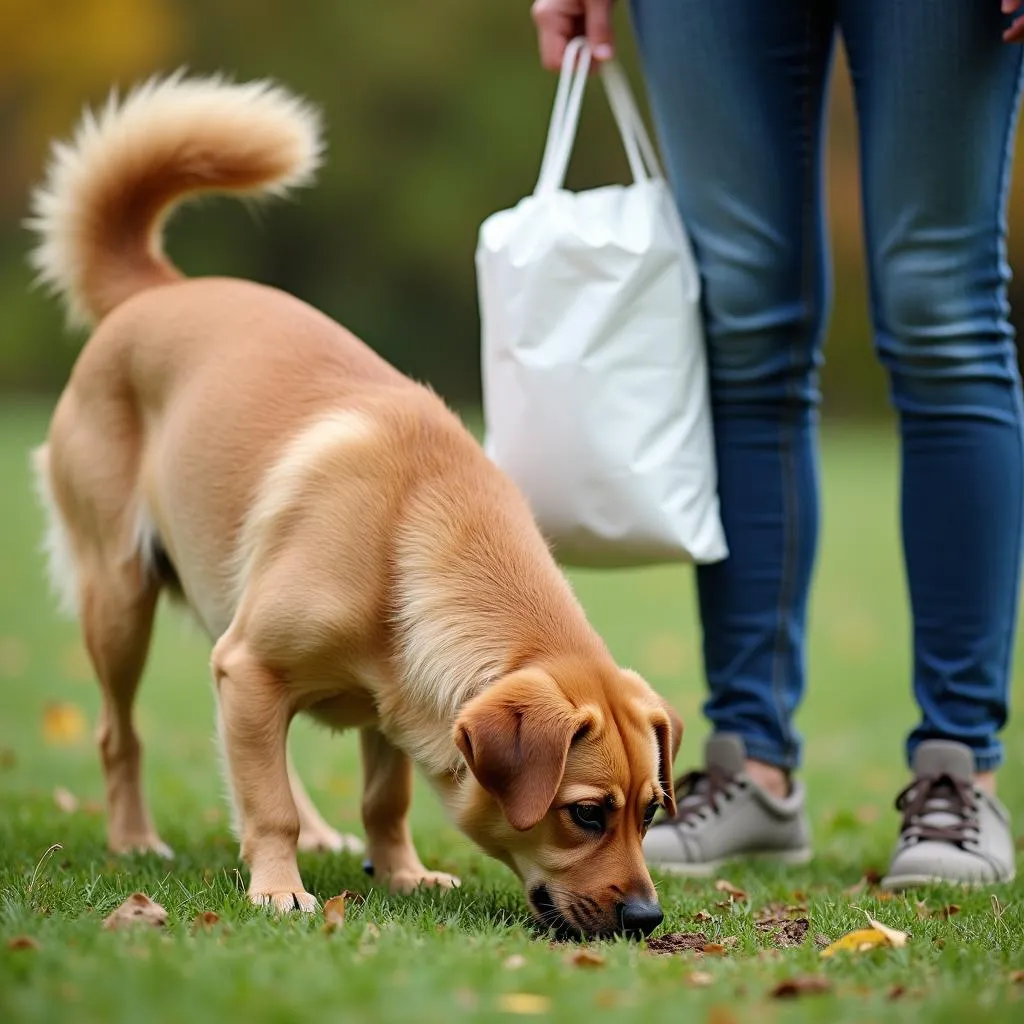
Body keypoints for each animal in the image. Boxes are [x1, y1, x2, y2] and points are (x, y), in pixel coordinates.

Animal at [25, 70, 679, 937]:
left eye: (652, 810)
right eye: (587, 813)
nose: (646, 916)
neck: (412, 529)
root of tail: (154, 292)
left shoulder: (386, 705)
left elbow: (380, 798)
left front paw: (400, 872)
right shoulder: (252, 665)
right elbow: (267, 802)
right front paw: (278, 887)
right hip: (120, 601)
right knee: (118, 734)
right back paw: (136, 839)